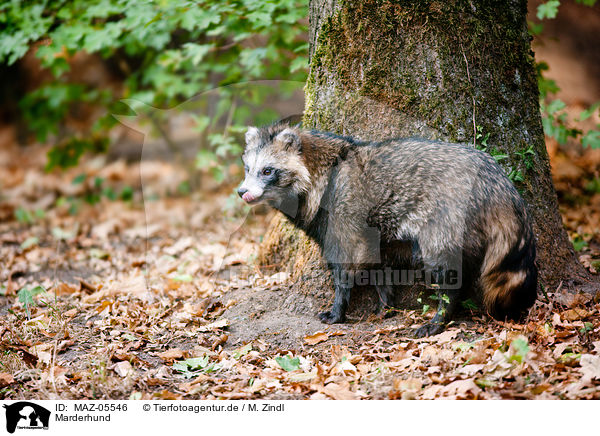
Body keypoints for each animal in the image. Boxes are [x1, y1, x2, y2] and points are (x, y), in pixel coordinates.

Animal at [237, 121, 536, 336]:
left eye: (267, 171)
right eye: (248, 168)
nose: (241, 192)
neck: (323, 171)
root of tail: (496, 180)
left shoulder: (343, 214)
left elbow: (346, 263)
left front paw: (338, 308)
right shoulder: (373, 233)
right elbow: (377, 264)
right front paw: (386, 303)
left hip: (445, 220)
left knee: (444, 269)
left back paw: (442, 315)